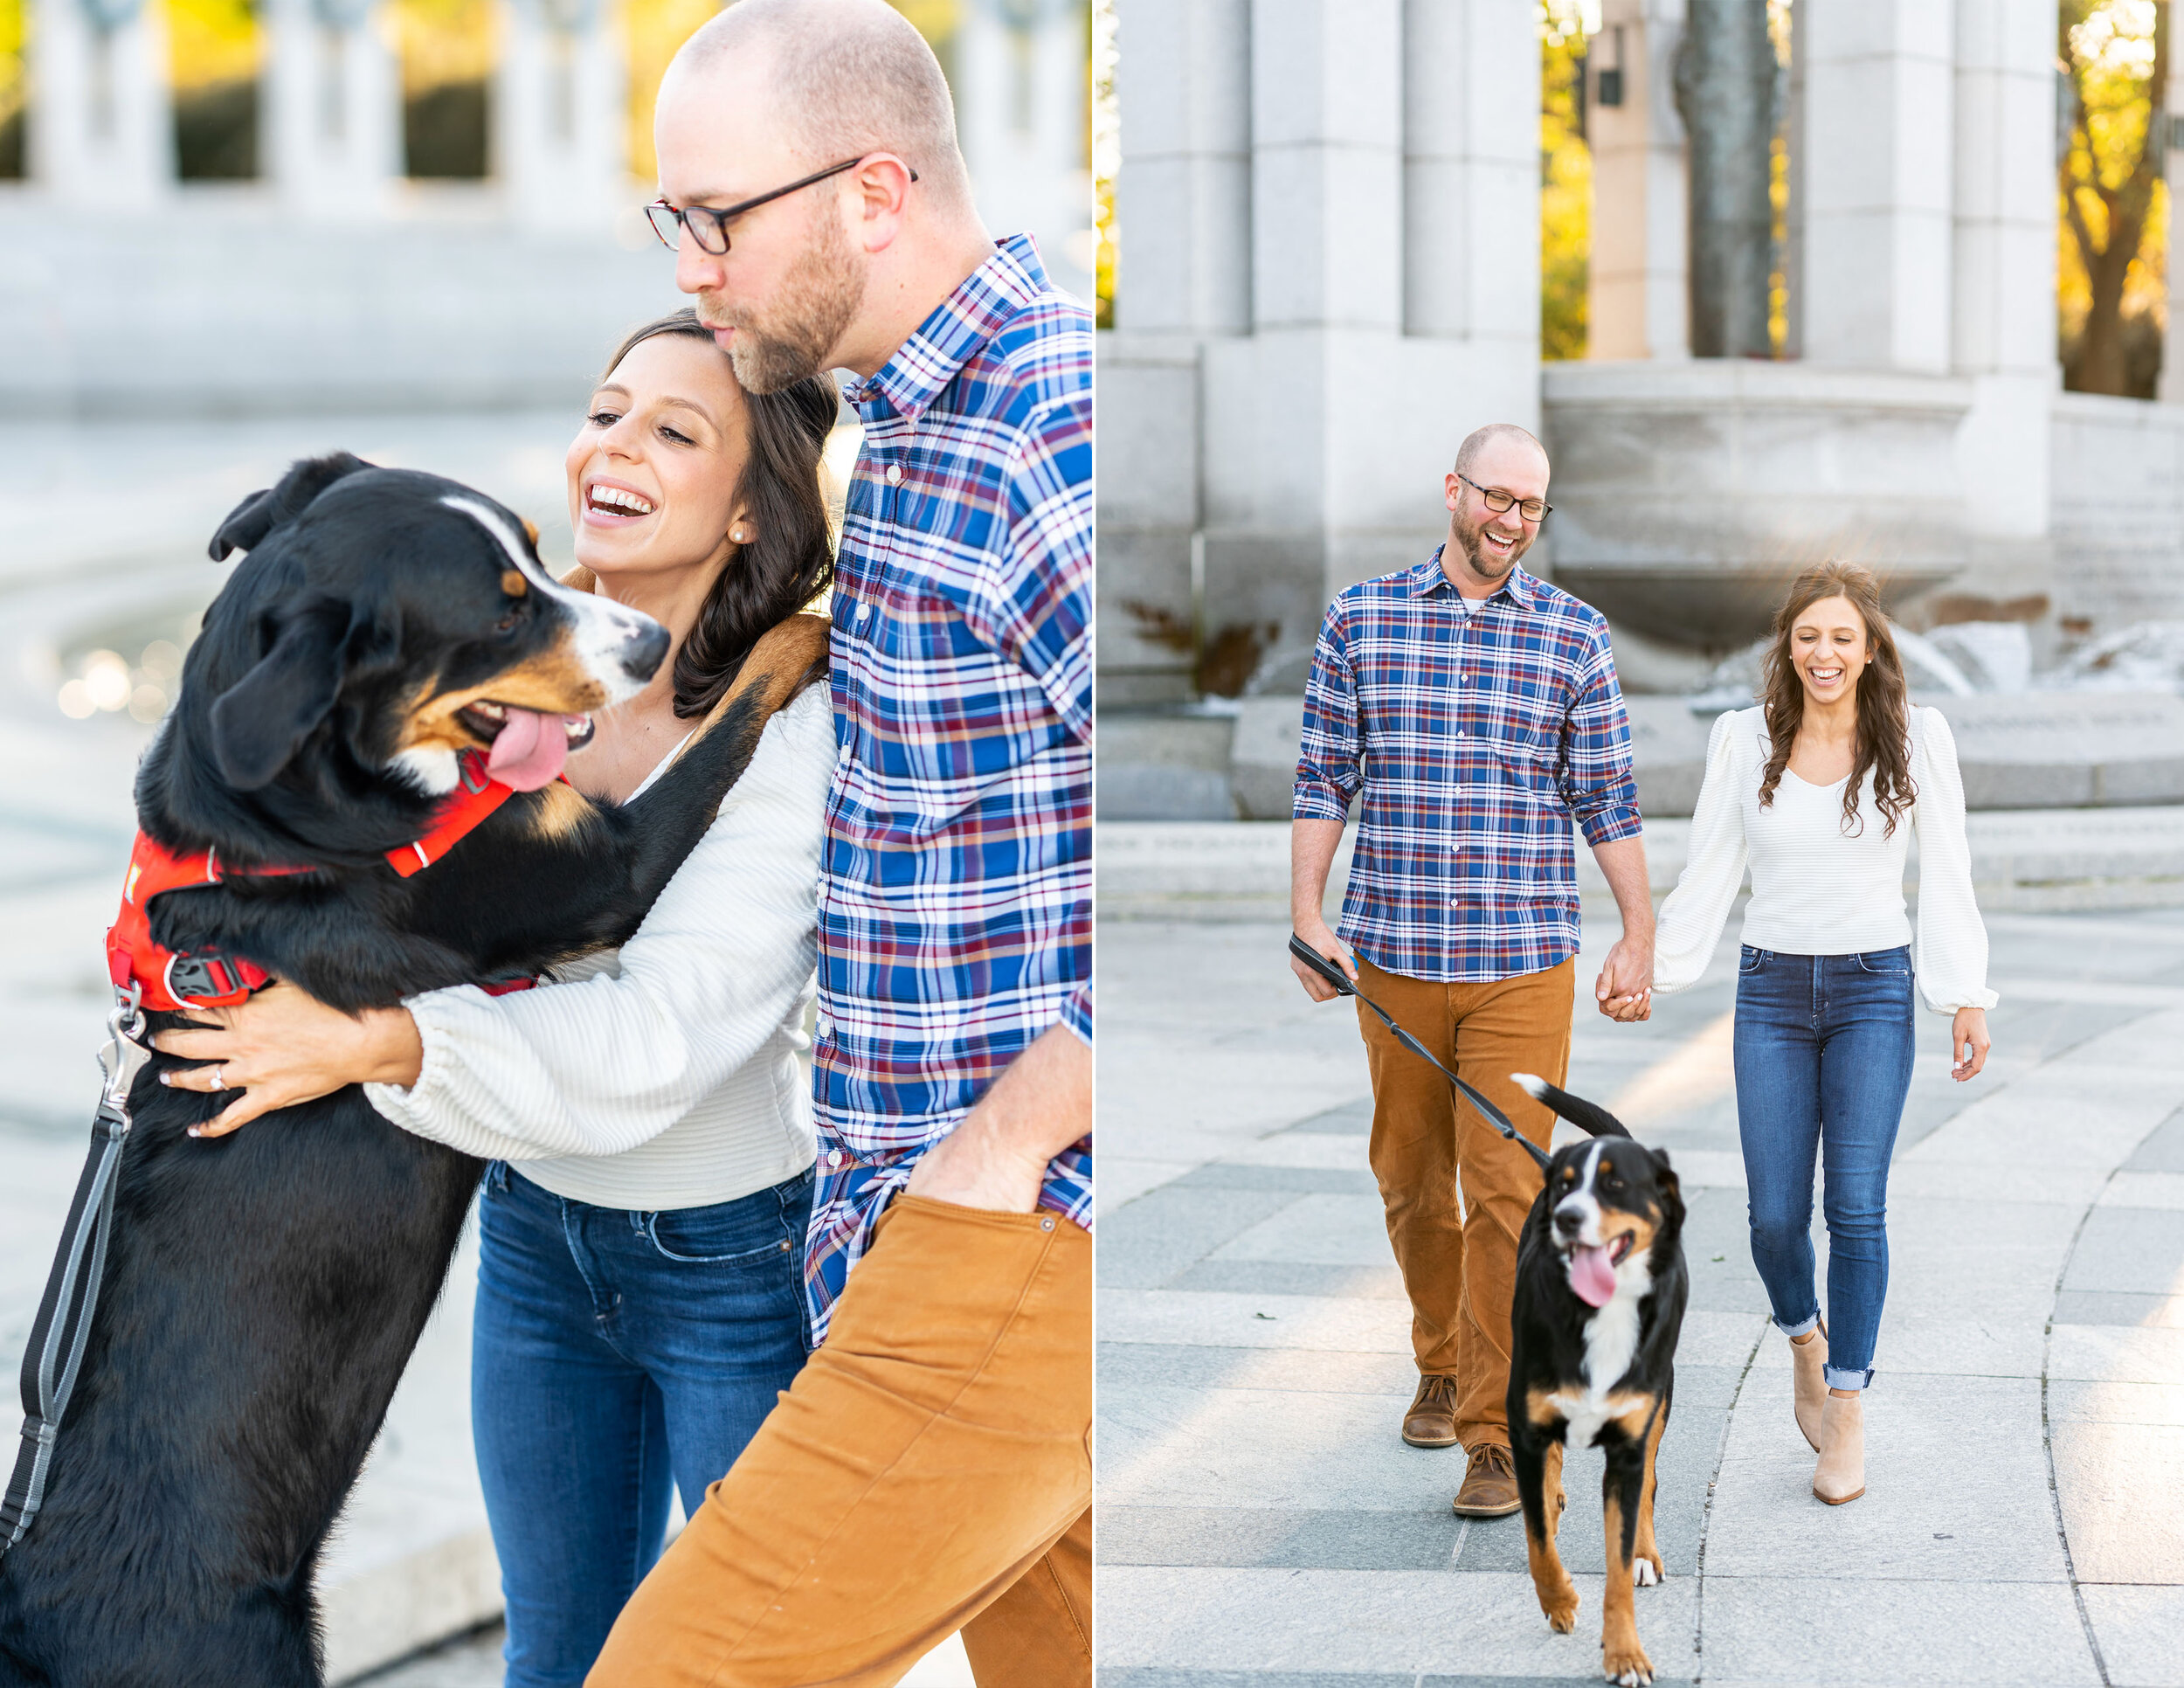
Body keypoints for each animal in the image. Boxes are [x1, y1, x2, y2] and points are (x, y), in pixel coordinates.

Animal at [1503, 1074, 1686, 1677]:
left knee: (1649, 1483)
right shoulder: (1527, 1428)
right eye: (1563, 1187)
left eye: (1615, 1184)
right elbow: (1538, 1540)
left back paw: (1646, 1554)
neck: (1600, 1313)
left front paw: (1625, 1652)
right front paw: (1559, 1600)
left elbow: (1618, 1565)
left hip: (1660, 1400)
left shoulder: (1627, 1447)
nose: (1567, 1217)